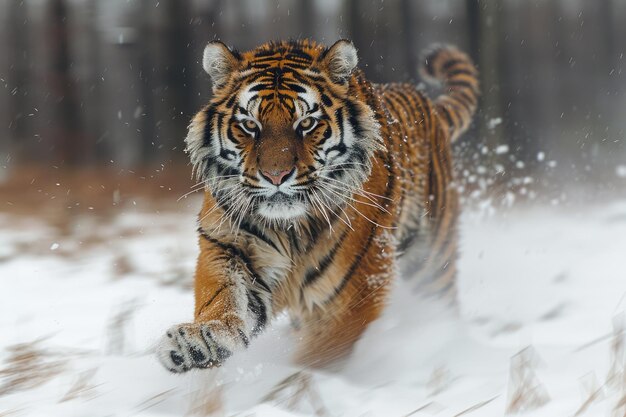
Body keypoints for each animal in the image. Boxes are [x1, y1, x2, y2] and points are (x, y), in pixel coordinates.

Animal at [157, 38, 478, 370]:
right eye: (249, 125)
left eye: (307, 123)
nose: (276, 175)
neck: (289, 226)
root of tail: (426, 102)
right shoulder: (227, 246)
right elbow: (222, 297)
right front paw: (199, 342)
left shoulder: (354, 292)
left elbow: (320, 354)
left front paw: (291, 378)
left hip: (431, 263)